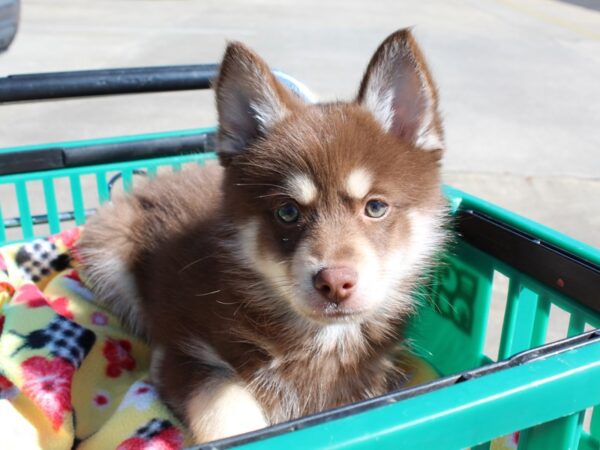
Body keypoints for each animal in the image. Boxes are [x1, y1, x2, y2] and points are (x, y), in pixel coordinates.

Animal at [77, 29, 446, 444]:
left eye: (376, 207)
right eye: (287, 212)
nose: (334, 283)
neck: (321, 339)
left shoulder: (376, 372)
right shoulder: (185, 355)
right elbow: (226, 405)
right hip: (107, 249)